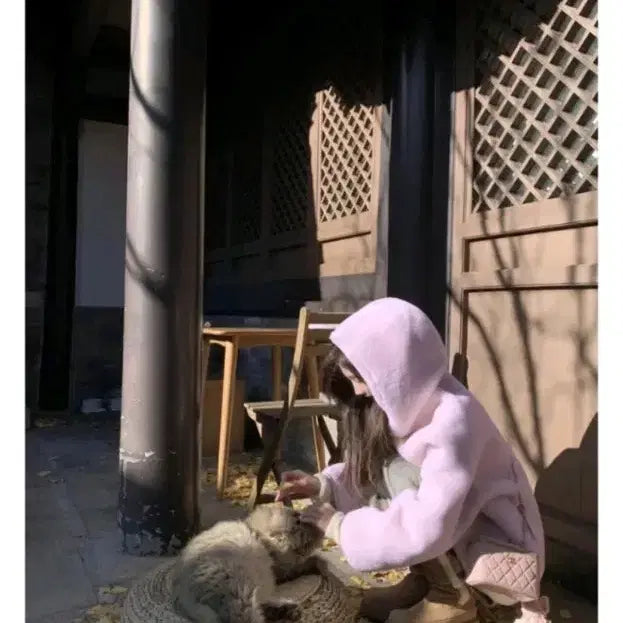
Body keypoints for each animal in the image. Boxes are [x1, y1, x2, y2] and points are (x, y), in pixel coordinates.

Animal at [171, 504, 324, 622]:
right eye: (298, 522)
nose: (321, 531)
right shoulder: (283, 569)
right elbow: (304, 564)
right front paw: (317, 562)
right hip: (241, 595)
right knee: (247, 618)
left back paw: (287, 611)